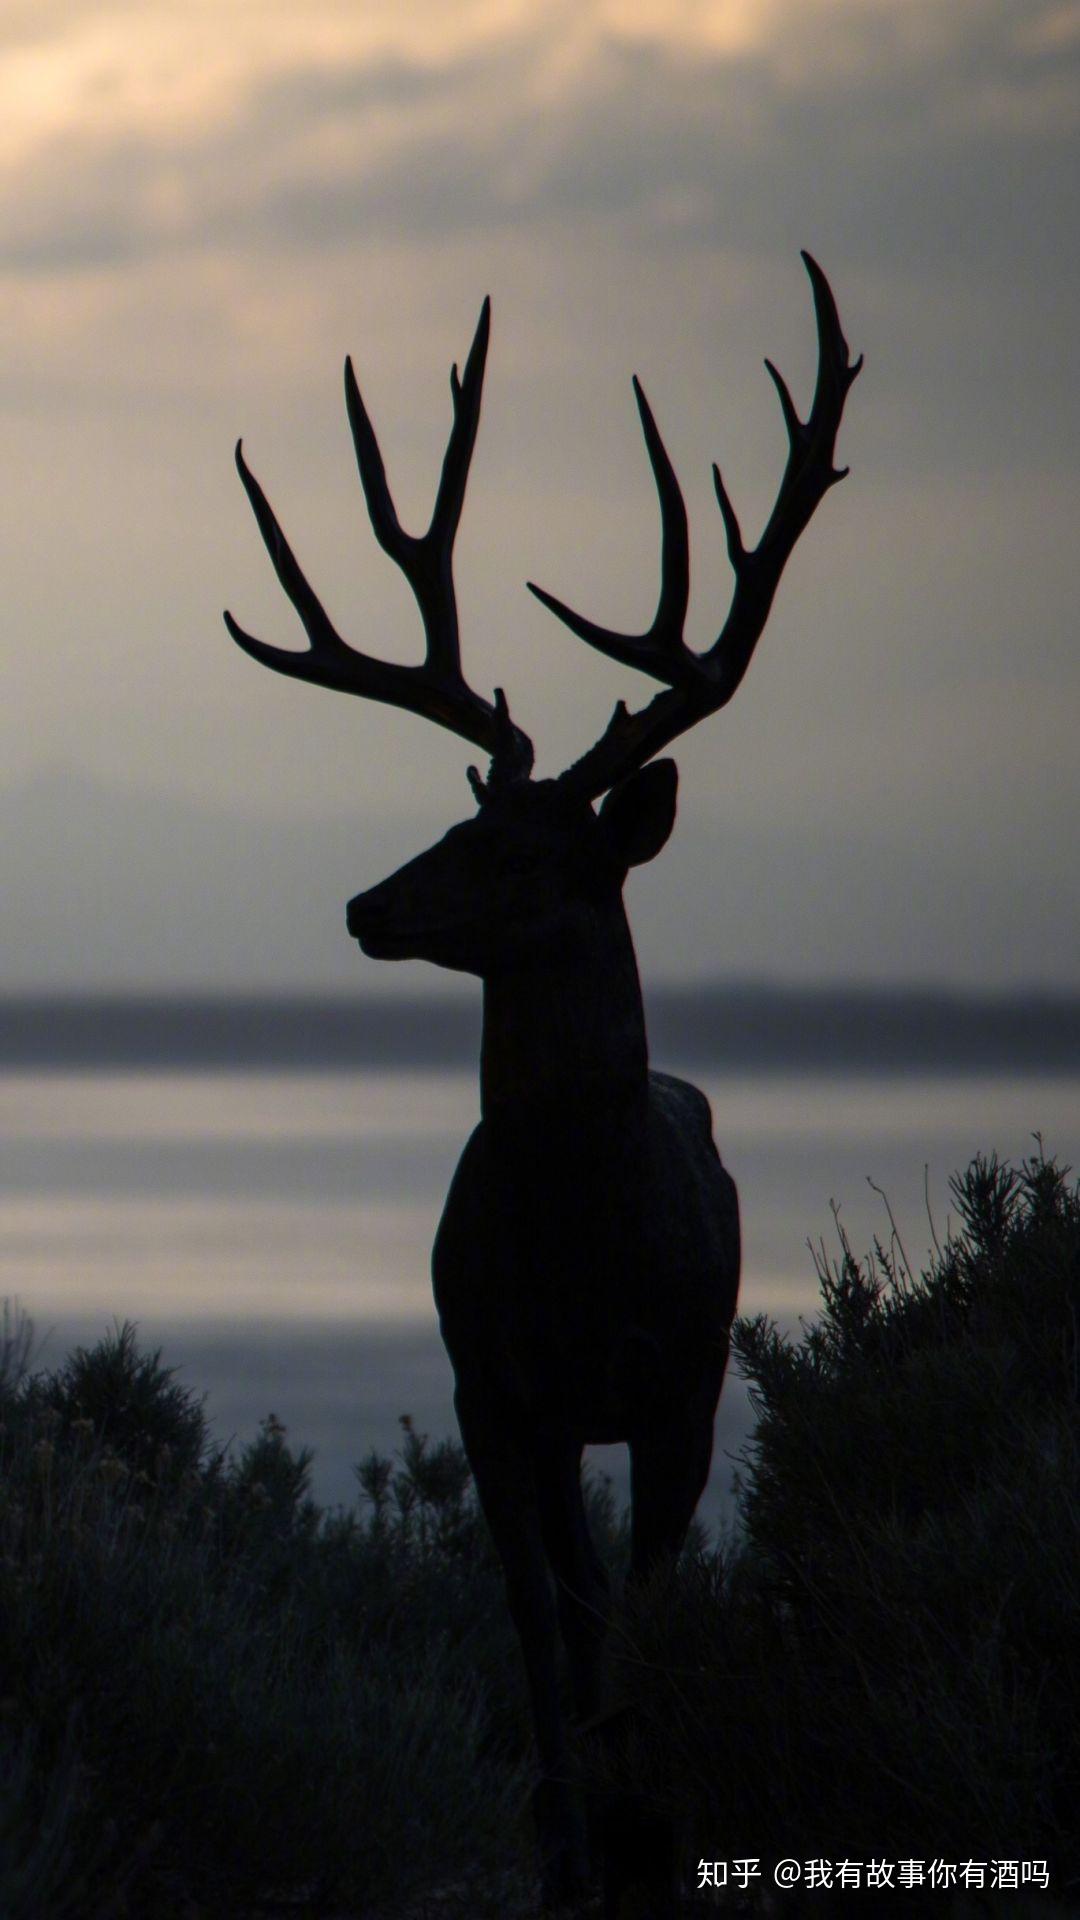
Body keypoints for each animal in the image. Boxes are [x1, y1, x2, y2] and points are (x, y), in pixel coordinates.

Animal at [224, 259, 857, 1920]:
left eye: (524, 854)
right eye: (460, 823)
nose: (368, 904)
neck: (579, 1245)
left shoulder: (679, 1383)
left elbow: (639, 1616)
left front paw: (650, 1829)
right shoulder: (493, 1388)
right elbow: (540, 1635)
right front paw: (572, 1847)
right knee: (562, 1618)